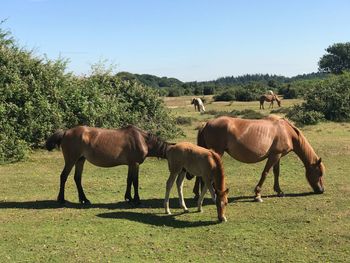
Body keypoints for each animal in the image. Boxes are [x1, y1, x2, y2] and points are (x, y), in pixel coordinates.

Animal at [191, 115, 326, 202]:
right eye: (319, 173)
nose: (321, 190)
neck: (287, 131)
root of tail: (206, 124)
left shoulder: (277, 155)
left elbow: (276, 172)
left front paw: (279, 191)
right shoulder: (274, 156)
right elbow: (265, 173)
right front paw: (257, 194)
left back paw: (198, 193)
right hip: (217, 152)